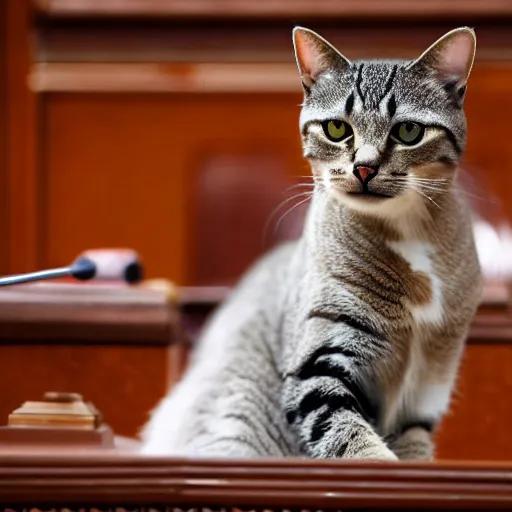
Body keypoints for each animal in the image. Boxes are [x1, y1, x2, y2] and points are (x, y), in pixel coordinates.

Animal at [142, 27, 482, 460]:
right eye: (337, 128)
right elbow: (350, 436)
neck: (406, 229)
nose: (364, 168)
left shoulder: (429, 381)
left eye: (408, 132)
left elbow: (413, 445)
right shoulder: (319, 362)